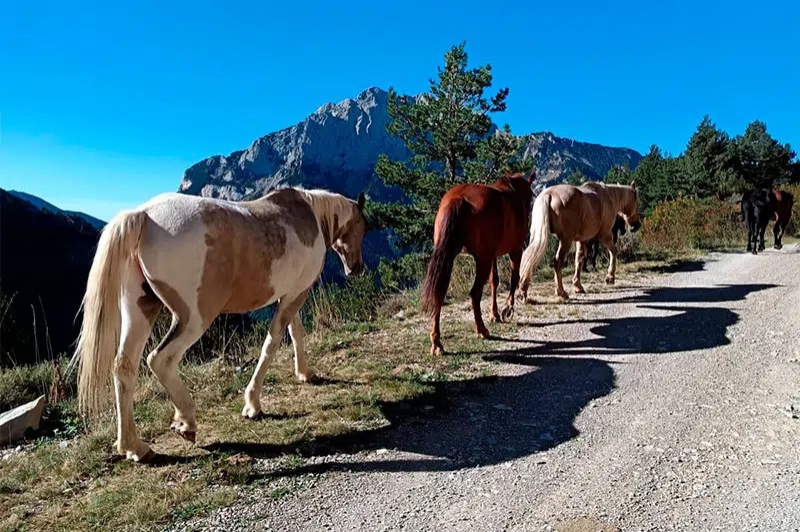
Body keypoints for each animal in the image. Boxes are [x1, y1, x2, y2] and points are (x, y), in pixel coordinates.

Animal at [69, 187, 368, 462]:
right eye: (362, 228)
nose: (356, 268)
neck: (309, 215)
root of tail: (144, 215)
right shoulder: (297, 292)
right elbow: (272, 343)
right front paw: (253, 404)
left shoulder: (289, 294)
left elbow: (295, 333)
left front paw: (304, 373)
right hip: (194, 319)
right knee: (160, 360)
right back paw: (186, 421)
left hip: (141, 309)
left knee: (124, 367)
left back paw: (135, 447)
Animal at [418, 168, 536, 356]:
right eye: (530, 195)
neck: (513, 193)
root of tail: (458, 199)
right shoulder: (515, 250)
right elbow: (514, 278)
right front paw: (507, 308)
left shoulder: (492, 255)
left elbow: (494, 281)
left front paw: (494, 314)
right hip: (482, 260)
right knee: (475, 293)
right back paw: (481, 330)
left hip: (451, 256)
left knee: (440, 291)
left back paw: (437, 343)